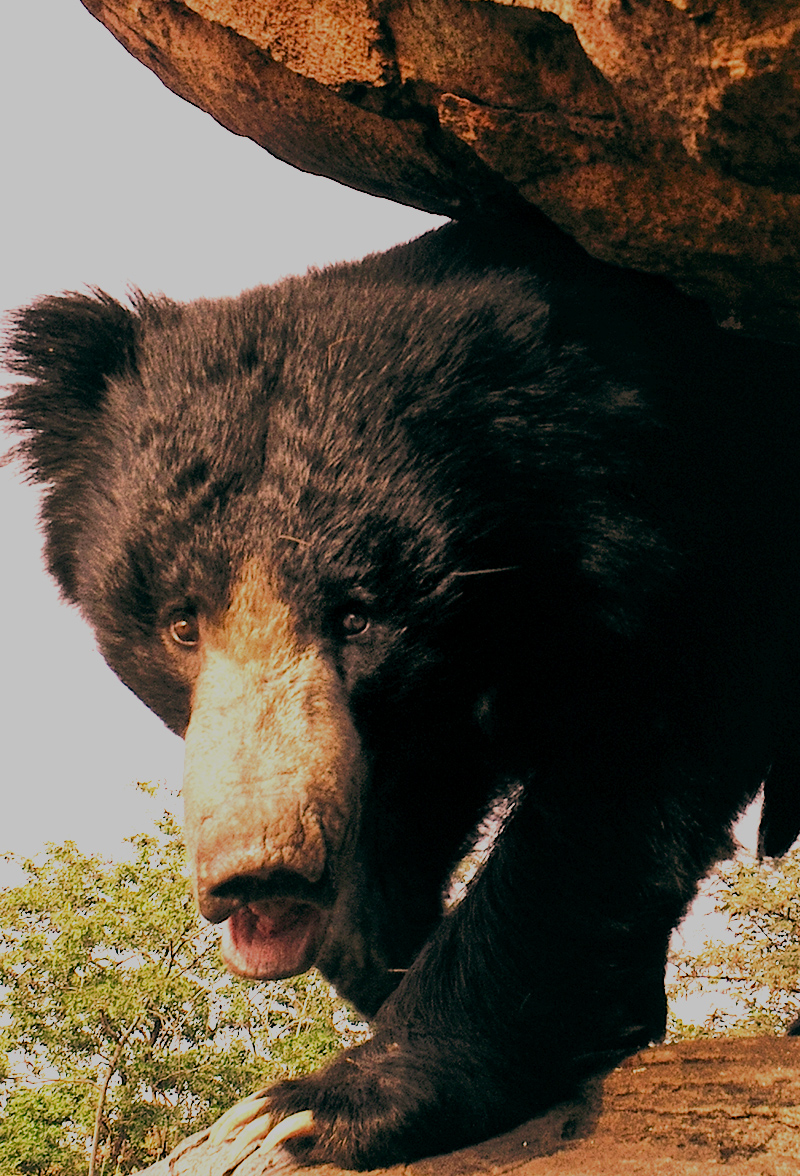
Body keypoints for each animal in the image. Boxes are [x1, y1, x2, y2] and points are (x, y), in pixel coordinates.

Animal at [5, 213, 800, 1170]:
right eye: (181, 624)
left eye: (357, 618)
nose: (256, 873)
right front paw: (370, 948)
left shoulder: (704, 554)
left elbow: (623, 784)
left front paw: (313, 1107)